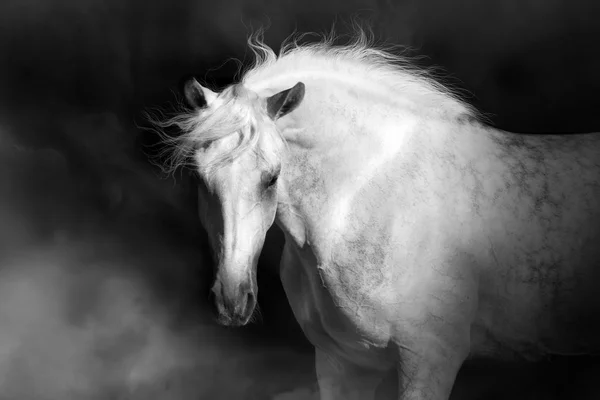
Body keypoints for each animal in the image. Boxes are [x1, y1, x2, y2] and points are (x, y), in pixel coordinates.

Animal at [154, 29, 600, 398]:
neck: (367, 199)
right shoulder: (341, 363)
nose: (232, 301)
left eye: (271, 177)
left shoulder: (429, 359)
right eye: (200, 177)